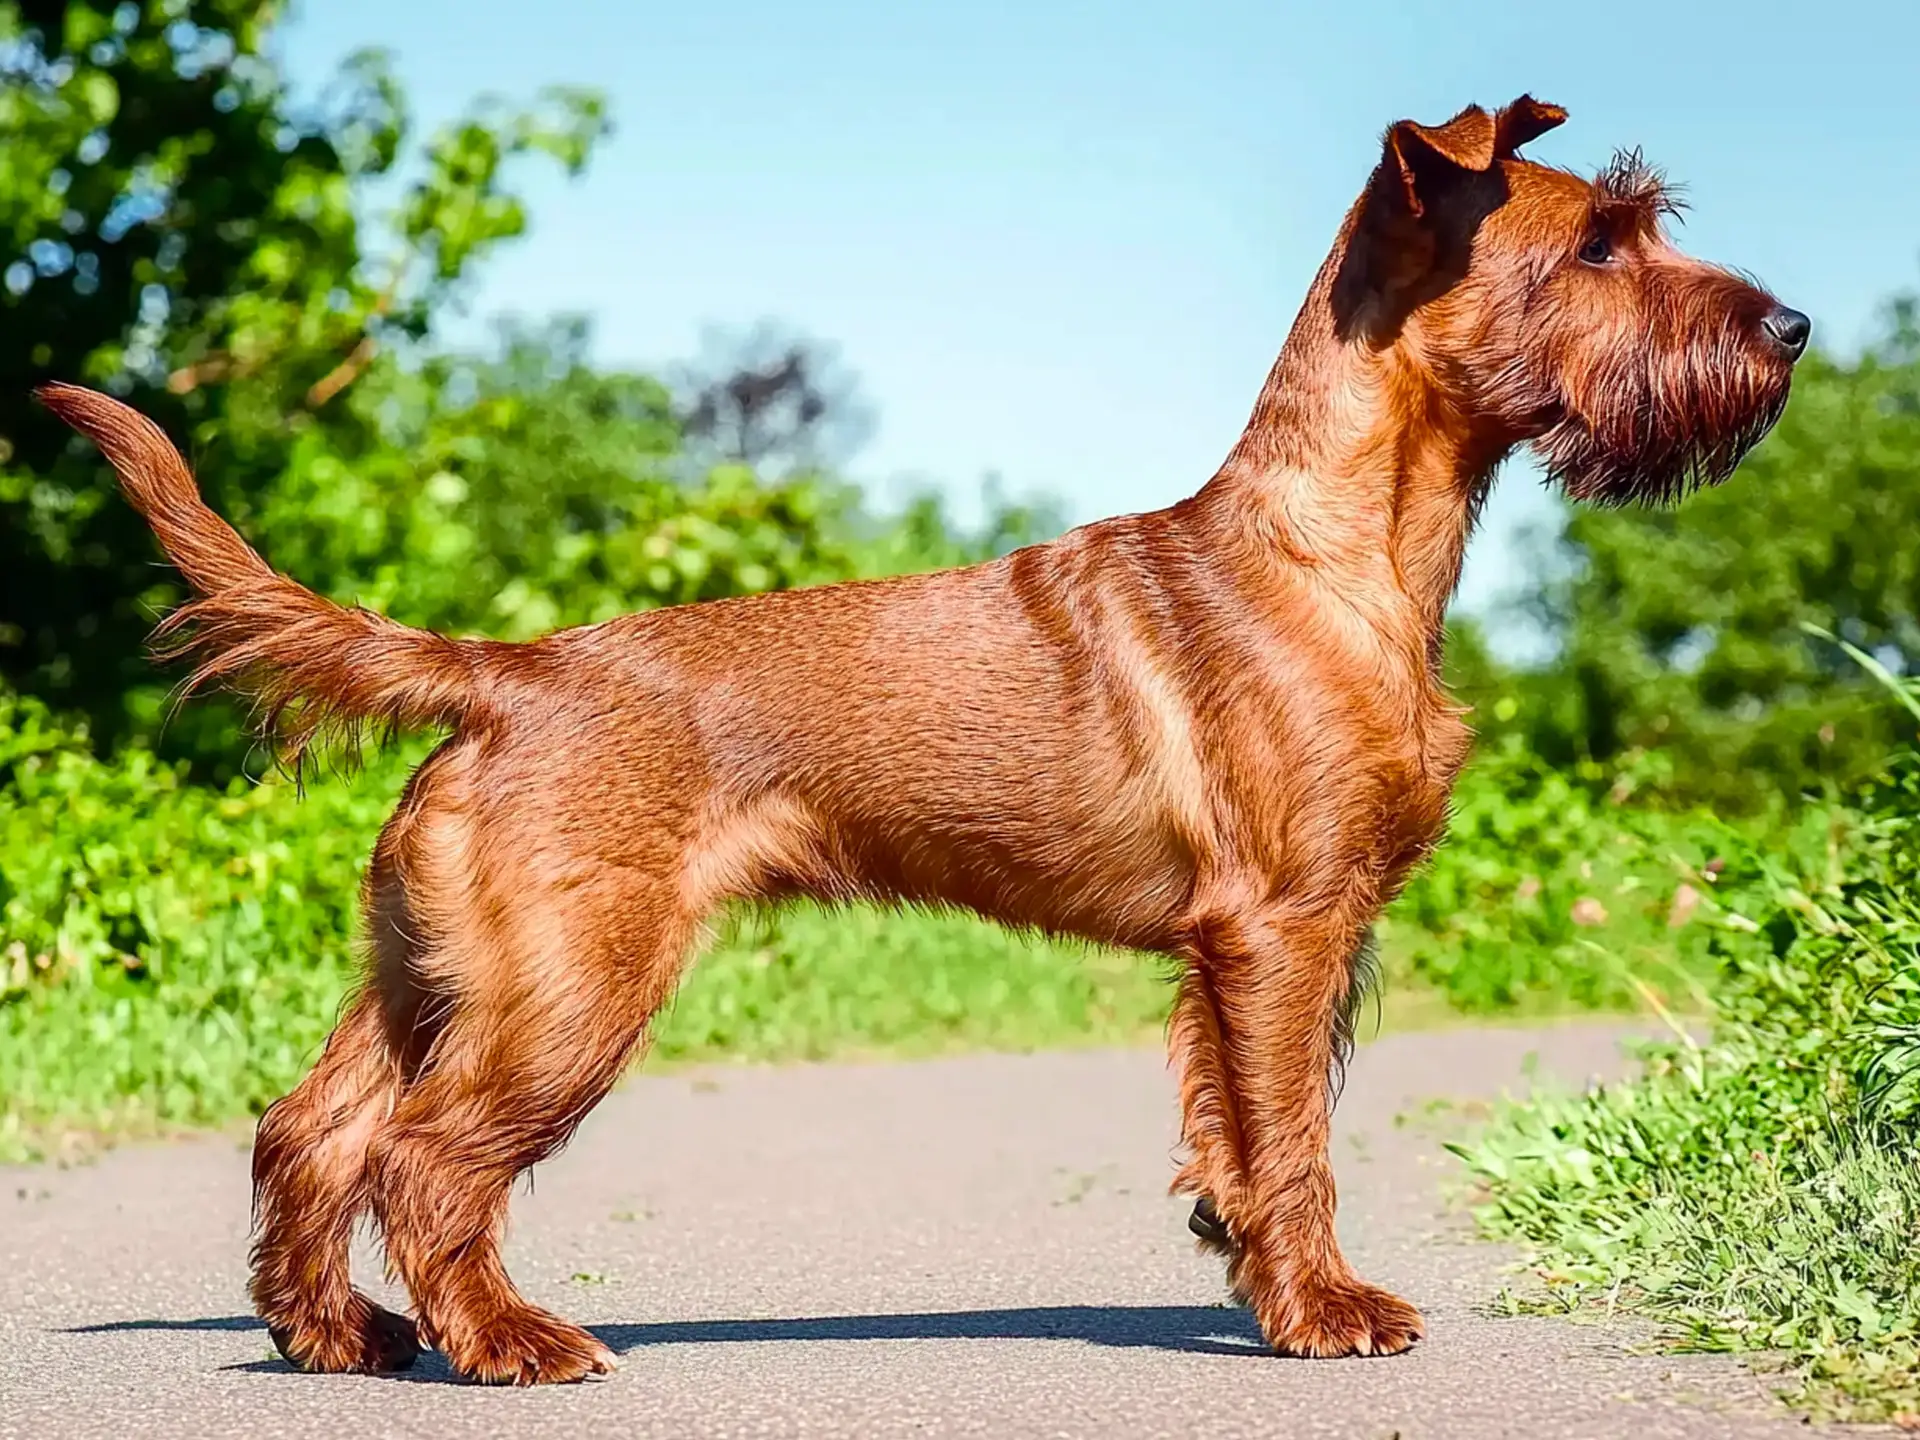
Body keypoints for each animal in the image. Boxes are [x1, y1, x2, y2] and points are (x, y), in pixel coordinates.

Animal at [37, 93, 1804, 1390]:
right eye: (1599, 242)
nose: (1788, 324)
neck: (1344, 550)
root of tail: (506, 671)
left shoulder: (1256, 952)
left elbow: (1235, 1135)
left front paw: (1248, 1270)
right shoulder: (1284, 931)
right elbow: (1295, 1137)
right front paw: (1323, 1313)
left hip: (432, 974)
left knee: (309, 1133)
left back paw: (339, 1338)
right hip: (569, 991)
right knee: (422, 1164)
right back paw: (512, 1345)